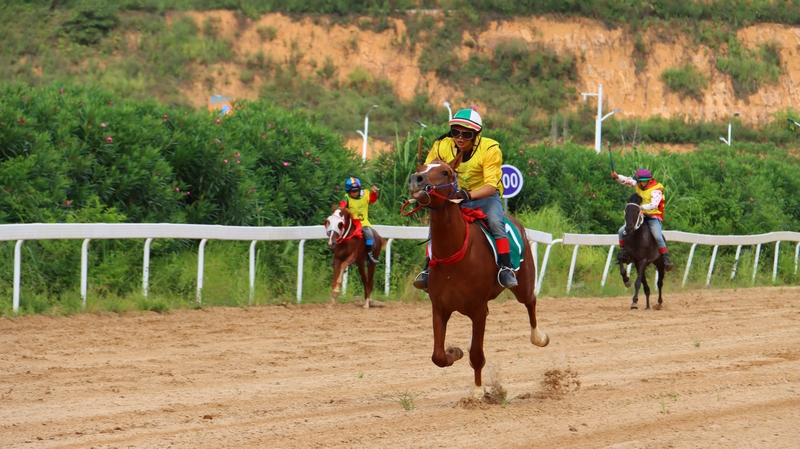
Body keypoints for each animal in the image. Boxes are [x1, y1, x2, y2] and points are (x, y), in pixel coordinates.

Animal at [406, 155, 552, 400]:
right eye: (421, 167)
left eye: (445, 172)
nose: (417, 179)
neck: (454, 256)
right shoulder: (440, 307)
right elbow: (438, 355)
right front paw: (454, 351)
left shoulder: (476, 308)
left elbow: (476, 354)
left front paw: (477, 392)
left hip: (523, 283)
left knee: (530, 301)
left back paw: (539, 337)